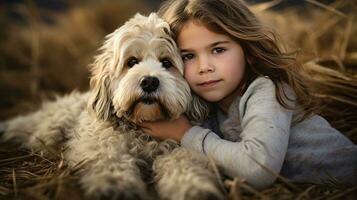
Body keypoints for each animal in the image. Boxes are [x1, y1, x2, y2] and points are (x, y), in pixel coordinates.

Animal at [0, 13, 222, 200]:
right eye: (131, 62)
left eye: (166, 63)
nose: (149, 82)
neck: (143, 128)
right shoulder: (102, 146)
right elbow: (110, 162)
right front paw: (115, 186)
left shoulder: (182, 147)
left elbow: (184, 163)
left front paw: (193, 187)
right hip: (52, 128)